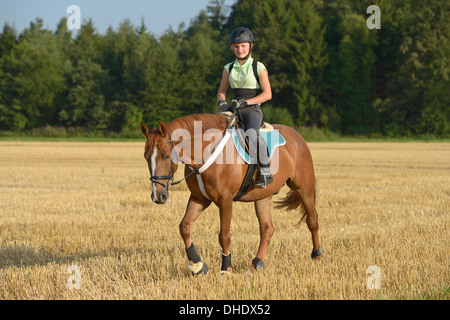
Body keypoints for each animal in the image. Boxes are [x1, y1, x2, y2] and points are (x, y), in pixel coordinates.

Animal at [141, 113, 320, 276]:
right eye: (146, 157)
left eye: (166, 156)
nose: (158, 196)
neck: (206, 152)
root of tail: (297, 136)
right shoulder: (199, 198)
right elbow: (184, 227)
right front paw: (197, 265)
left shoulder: (225, 200)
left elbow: (224, 236)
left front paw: (226, 268)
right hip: (263, 196)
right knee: (267, 228)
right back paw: (255, 265)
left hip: (304, 187)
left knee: (312, 220)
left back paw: (317, 256)